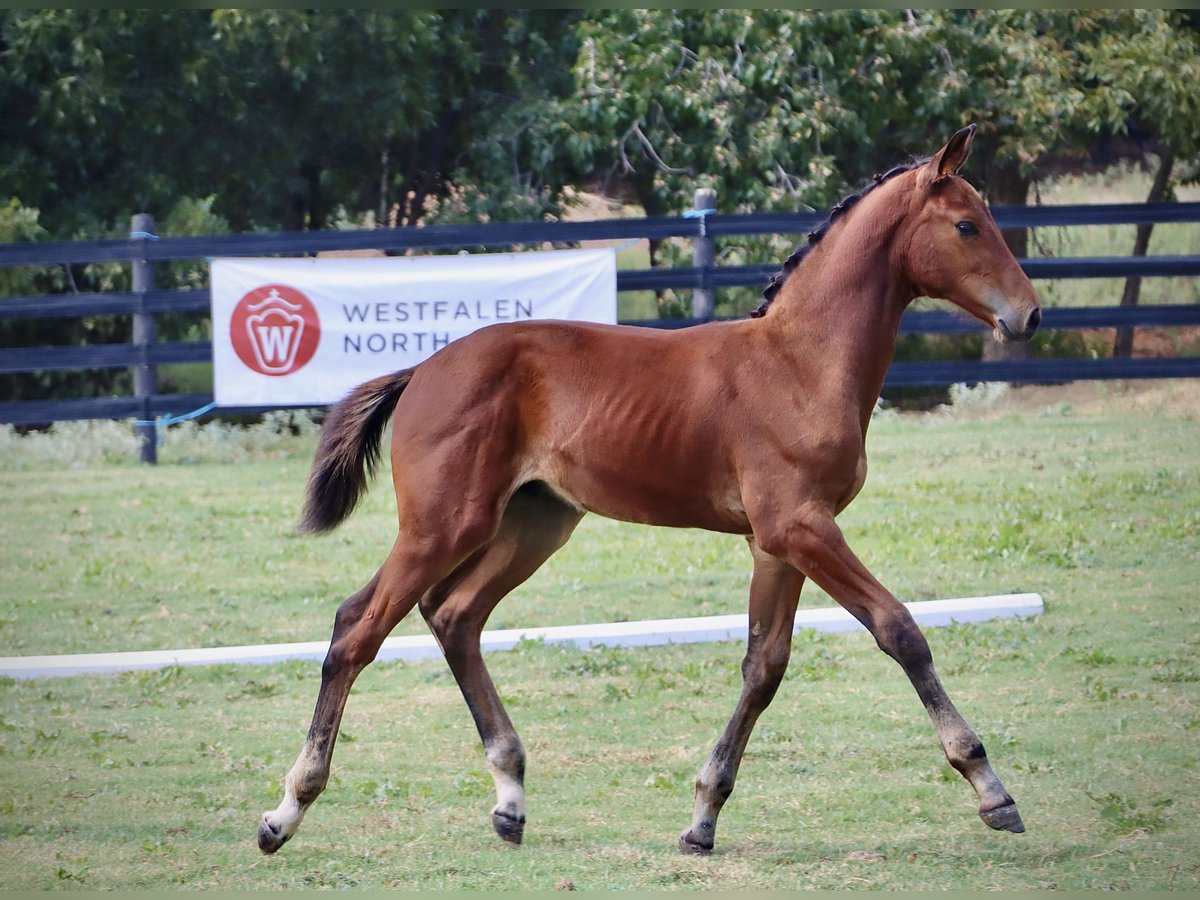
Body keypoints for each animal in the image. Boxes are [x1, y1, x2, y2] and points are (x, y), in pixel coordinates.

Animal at [260, 123, 1041, 854]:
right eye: (967, 224)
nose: (1029, 314)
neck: (801, 362)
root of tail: (421, 370)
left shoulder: (776, 543)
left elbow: (764, 665)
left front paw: (702, 817)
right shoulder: (800, 526)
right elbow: (899, 629)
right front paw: (991, 788)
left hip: (534, 524)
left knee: (454, 615)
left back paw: (509, 799)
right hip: (443, 524)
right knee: (357, 628)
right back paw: (285, 811)